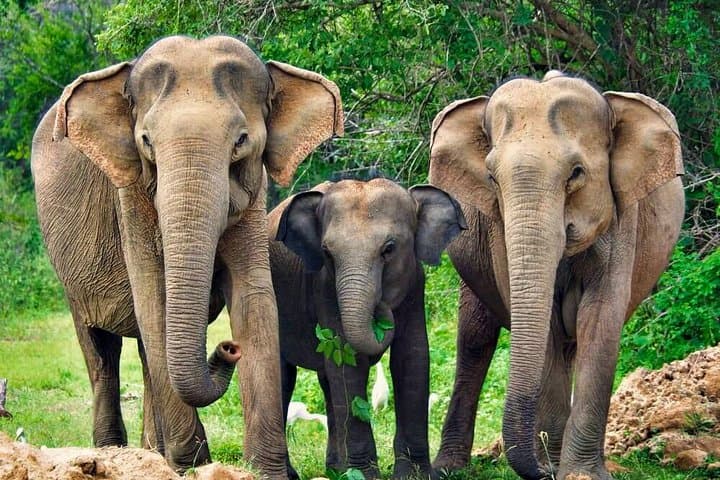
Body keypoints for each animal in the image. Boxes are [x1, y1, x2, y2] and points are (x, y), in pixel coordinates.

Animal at [31, 35, 343, 477]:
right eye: (146, 142)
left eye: (240, 142)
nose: (227, 348)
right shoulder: (131, 198)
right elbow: (153, 299)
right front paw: (192, 465)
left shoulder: (254, 197)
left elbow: (255, 300)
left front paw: (267, 470)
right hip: (71, 276)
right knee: (101, 351)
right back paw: (114, 454)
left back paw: (151, 453)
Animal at [267, 179, 467, 479]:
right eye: (327, 253)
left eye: (389, 248)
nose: (382, 307)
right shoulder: (325, 289)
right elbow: (348, 362)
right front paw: (363, 475)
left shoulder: (415, 284)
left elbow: (412, 357)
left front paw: (414, 476)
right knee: (285, 376)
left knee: (327, 382)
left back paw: (335, 469)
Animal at [427, 71, 684, 480]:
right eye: (491, 177)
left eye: (576, 173)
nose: (542, 469)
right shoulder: (498, 232)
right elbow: (544, 326)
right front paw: (554, 465)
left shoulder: (622, 218)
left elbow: (600, 319)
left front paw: (580, 473)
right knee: (475, 338)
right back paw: (449, 468)